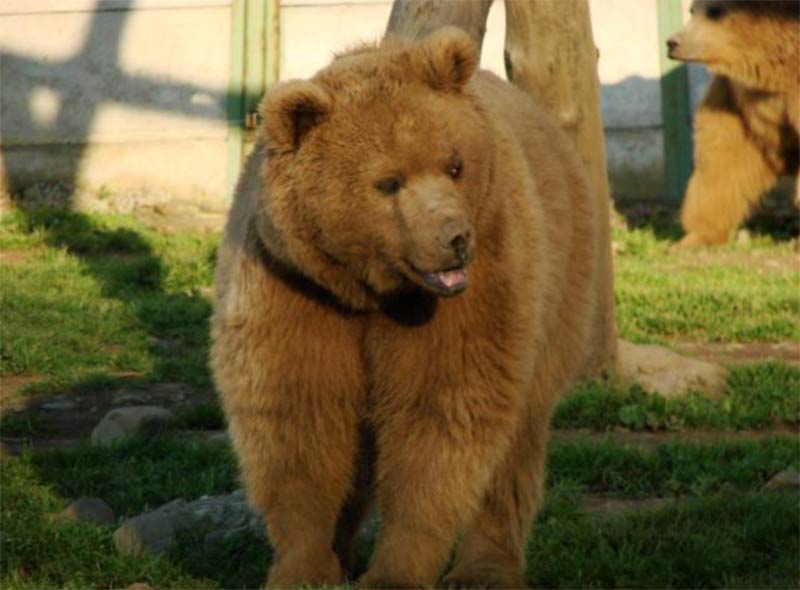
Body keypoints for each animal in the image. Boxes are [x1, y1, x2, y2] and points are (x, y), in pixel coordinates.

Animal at [212, 27, 608, 590]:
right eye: (388, 181)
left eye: (454, 164)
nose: (455, 239)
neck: (370, 292)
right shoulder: (292, 286)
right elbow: (298, 416)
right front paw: (305, 568)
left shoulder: (476, 293)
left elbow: (440, 417)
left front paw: (393, 572)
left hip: (561, 275)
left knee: (517, 440)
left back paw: (486, 569)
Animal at [668, 0, 800, 250]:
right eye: (692, 11)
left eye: (715, 11)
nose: (672, 42)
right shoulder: (737, 101)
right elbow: (724, 158)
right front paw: (696, 236)